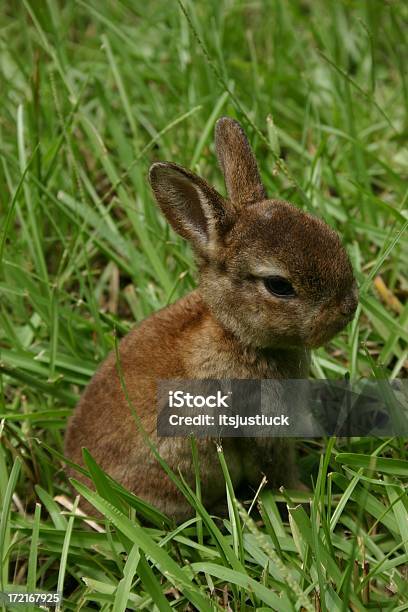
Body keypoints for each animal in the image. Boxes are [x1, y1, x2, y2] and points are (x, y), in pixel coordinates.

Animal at [64, 116, 356, 520]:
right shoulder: (261, 431)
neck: (236, 336)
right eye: (279, 285)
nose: (349, 306)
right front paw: (307, 498)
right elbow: (276, 472)